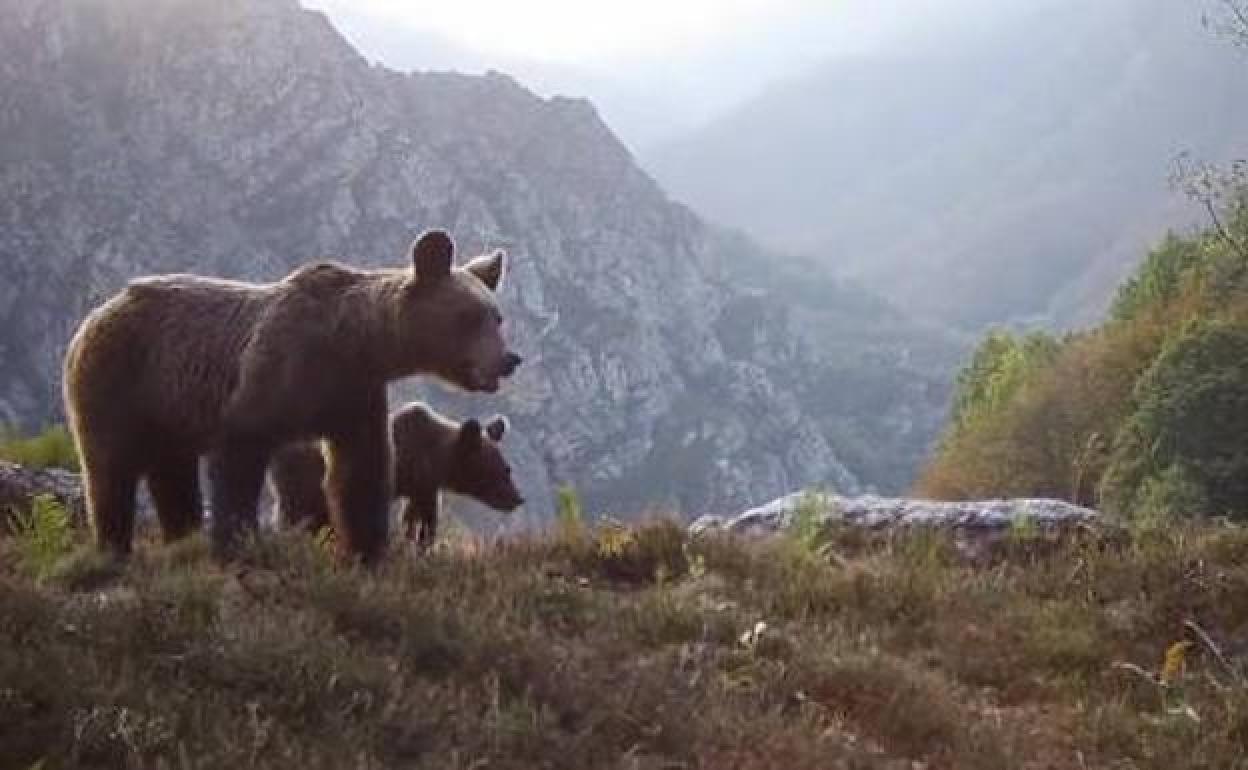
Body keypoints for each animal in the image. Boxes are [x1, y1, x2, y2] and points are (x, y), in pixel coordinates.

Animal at [60, 230, 519, 561]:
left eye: (497, 317)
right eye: (469, 316)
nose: (508, 359)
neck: (354, 343)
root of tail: (104, 307)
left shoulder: (354, 396)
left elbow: (362, 471)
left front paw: (367, 551)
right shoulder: (278, 370)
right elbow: (241, 453)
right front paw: (236, 542)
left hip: (169, 411)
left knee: (172, 472)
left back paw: (181, 534)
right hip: (119, 378)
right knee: (110, 466)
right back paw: (114, 545)